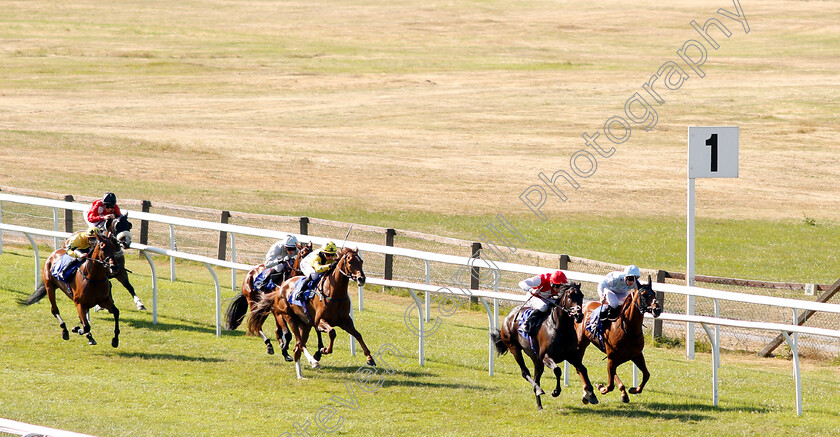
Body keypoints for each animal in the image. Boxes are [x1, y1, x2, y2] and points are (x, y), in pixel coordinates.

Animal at [248, 249, 376, 378]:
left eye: (361, 261)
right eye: (350, 262)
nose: (361, 279)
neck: (334, 293)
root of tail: (281, 288)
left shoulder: (345, 321)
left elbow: (358, 335)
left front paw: (370, 358)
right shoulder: (319, 321)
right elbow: (332, 332)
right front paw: (323, 350)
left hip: (305, 324)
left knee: (297, 346)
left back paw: (302, 369)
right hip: (289, 317)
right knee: (298, 342)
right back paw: (311, 361)